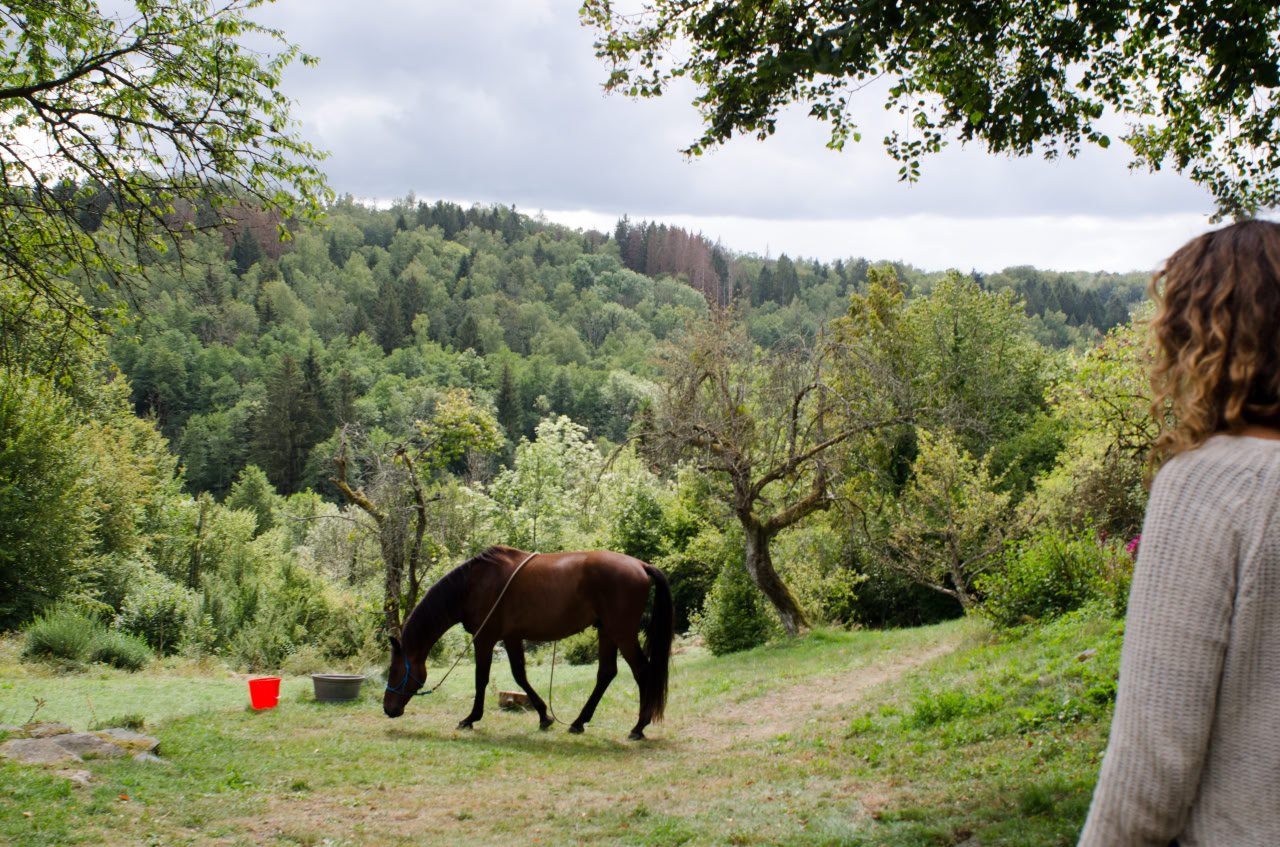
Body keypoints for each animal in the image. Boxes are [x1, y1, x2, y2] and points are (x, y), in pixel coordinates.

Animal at [383, 545, 674, 740]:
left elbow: (481, 679)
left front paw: (470, 719)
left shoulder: (485, 639)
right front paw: (544, 716)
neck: (472, 585)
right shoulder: (511, 637)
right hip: (607, 632)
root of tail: (641, 565)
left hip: (621, 632)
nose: (388, 708)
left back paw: (639, 727)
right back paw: (579, 722)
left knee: (642, 671)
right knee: (606, 674)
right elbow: (519, 675)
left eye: (395, 671)